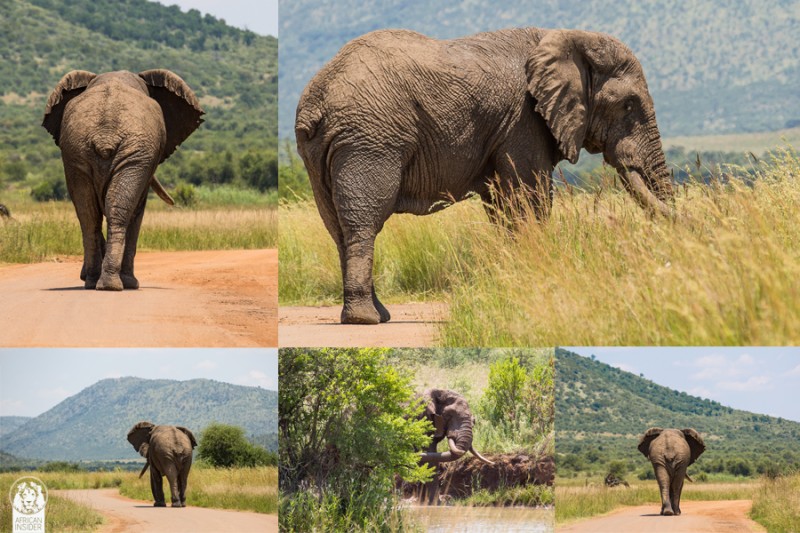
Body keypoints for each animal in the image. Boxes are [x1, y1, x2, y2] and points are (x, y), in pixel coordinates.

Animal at [43, 69, 204, 290]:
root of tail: (105, 136)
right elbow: (137, 211)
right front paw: (131, 283)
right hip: (132, 153)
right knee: (120, 212)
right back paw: (116, 284)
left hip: (77, 151)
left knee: (88, 215)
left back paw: (94, 281)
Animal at [296, 28, 674, 324]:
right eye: (628, 105)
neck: (567, 39)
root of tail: (317, 100)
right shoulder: (524, 120)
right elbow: (530, 197)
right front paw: (532, 279)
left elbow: (502, 205)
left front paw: (512, 280)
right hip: (370, 141)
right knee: (363, 222)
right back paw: (365, 319)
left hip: (321, 152)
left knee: (336, 227)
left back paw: (375, 314)